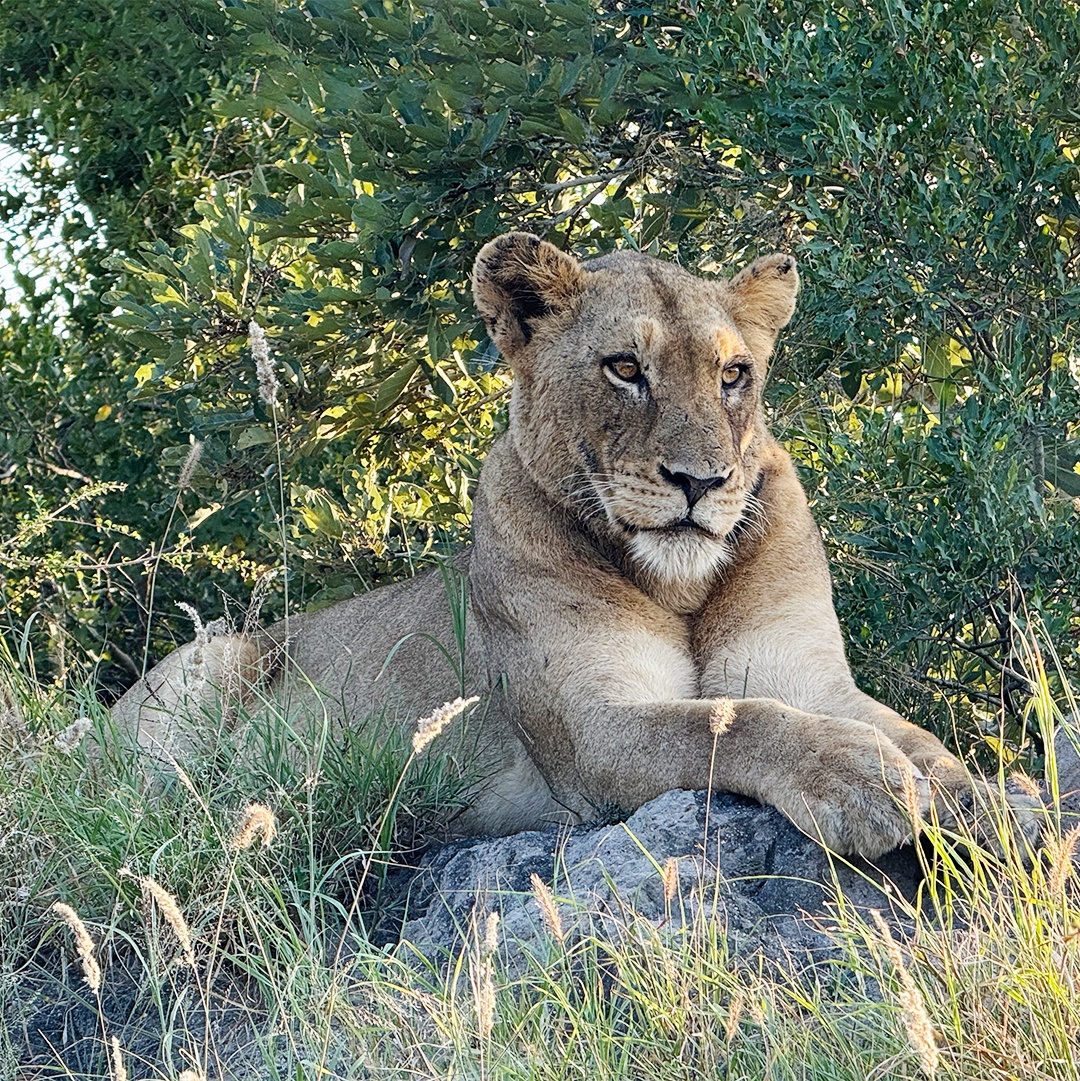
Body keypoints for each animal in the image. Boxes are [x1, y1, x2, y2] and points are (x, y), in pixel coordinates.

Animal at [113, 231, 1041, 858]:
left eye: (733, 375)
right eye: (625, 367)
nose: (701, 481)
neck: (681, 586)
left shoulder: (807, 673)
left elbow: (921, 738)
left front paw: (990, 802)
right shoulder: (592, 729)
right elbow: (731, 725)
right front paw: (860, 776)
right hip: (211, 657)